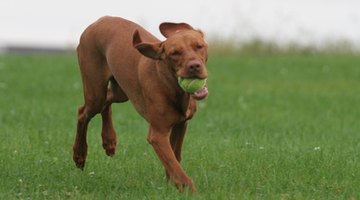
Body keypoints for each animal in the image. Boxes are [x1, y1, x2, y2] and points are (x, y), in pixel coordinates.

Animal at [72, 16, 208, 192]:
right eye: (174, 53)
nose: (194, 66)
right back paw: (79, 154)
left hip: (121, 92)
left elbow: (174, 158)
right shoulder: (157, 135)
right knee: (83, 112)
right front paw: (190, 191)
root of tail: (100, 20)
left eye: (199, 46)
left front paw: (170, 185)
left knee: (106, 102)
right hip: (95, 92)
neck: (172, 85)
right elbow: (175, 166)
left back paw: (109, 140)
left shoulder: (181, 124)